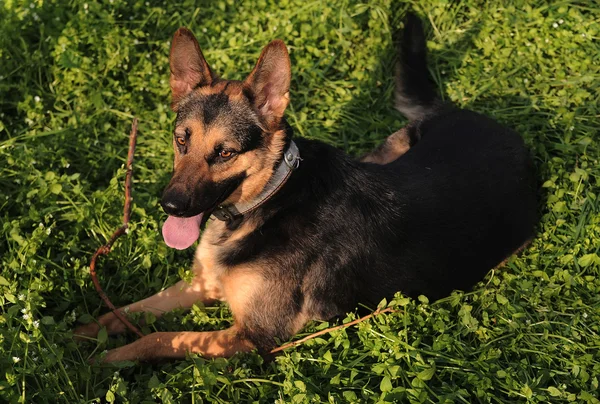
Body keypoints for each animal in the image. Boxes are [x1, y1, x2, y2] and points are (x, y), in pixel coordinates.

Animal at [72, 14, 536, 362]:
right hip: (386, 151)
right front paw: (76, 335)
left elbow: (161, 337)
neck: (270, 200)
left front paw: (105, 361)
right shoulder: (201, 285)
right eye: (181, 140)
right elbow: (128, 311)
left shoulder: (253, 335)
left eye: (225, 153)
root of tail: (453, 112)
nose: (170, 206)